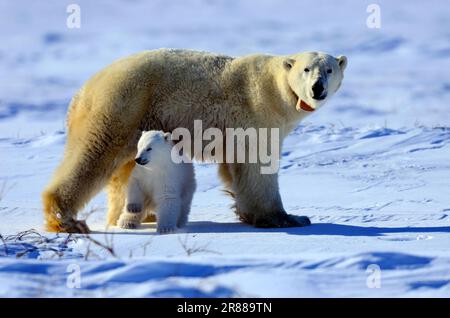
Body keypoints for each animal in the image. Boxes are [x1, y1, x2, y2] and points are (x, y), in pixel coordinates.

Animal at [42, 49, 346, 234]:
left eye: (329, 70)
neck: (276, 89)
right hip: (121, 106)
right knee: (93, 154)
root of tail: (83, 91)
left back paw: (141, 216)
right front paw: (288, 218)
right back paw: (66, 220)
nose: (318, 88)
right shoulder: (257, 114)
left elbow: (234, 168)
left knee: (123, 169)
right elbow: (258, 166)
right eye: (306, 69)